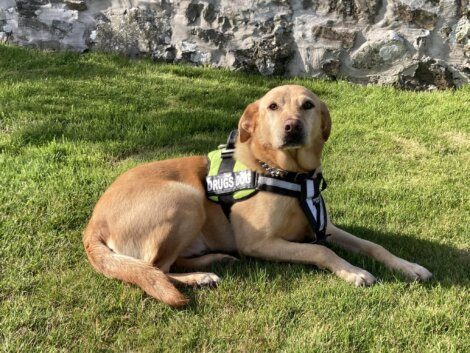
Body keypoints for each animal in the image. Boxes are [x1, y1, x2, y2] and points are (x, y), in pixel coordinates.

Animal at [82, 84, 432, 306]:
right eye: (272, 106)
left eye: (307, 105)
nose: (292, 127)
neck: (290, 175)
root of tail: (92, 225)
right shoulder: (260, 242)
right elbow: (320, 251)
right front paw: (353, 271)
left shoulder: (324, 227)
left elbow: (374, 245)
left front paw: (408, 266)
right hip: (185, 198)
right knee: (156, 269)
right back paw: (199, 277)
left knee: (164, 265)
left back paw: (214, 260)